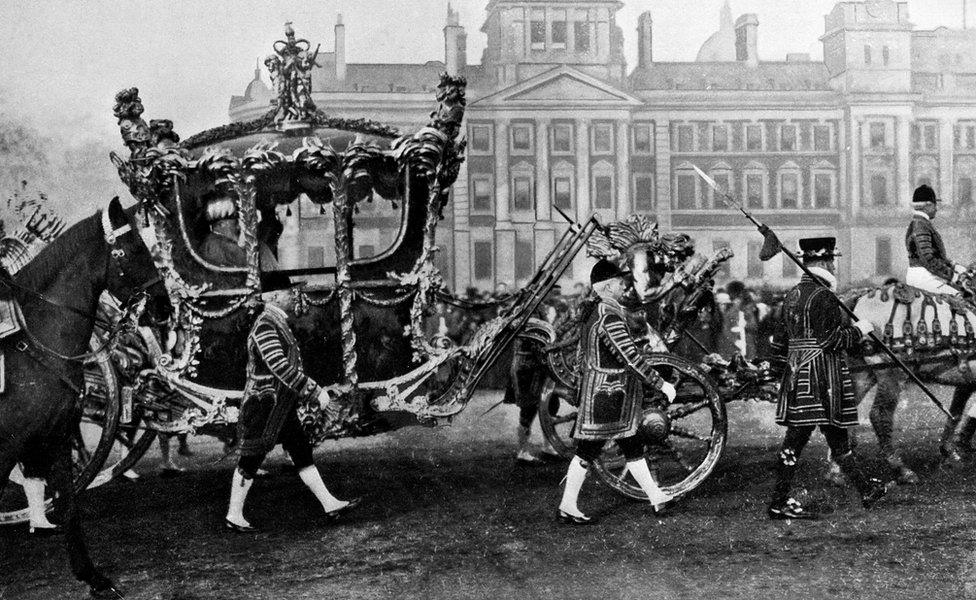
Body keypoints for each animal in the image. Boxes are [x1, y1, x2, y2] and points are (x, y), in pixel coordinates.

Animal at [0, 198, 165, 600]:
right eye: (133, 248)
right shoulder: (9, 444)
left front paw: (92, 576)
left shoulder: (54, 434)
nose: (164, 306)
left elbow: (69, 504)